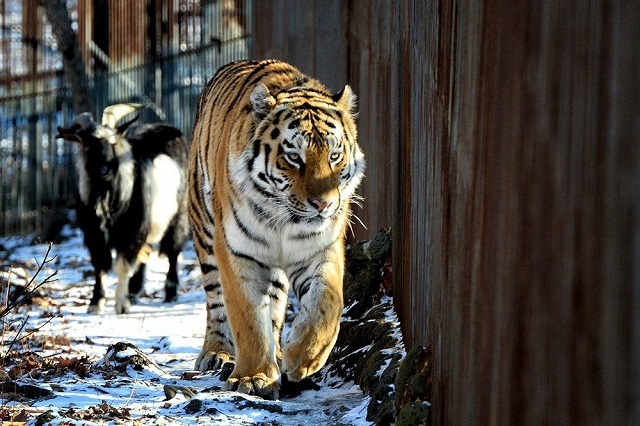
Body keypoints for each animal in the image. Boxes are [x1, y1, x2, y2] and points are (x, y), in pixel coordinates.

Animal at [57, 105, 189, 314]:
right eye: (88, 145)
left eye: (113, 142)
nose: (104, 169)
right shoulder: (94, 234)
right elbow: (100, 265)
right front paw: (96, 302)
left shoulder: (132, 231)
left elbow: (122, 266)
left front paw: (121, 304)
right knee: (145, 254)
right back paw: (134, 291)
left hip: (178, 214)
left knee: (173, 250)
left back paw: (170, 292)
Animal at [186, 59, 364, 400]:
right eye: (294, 158)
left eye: (335, 156)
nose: (323, 204)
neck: (284, 221)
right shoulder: (236, 251)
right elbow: (247, 318)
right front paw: (252, 377)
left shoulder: (321, 249)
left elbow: (326, 305)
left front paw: (303, 358)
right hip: (204, 230)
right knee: (216, 304)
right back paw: (218, 353)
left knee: (276, 307)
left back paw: (280, 355)